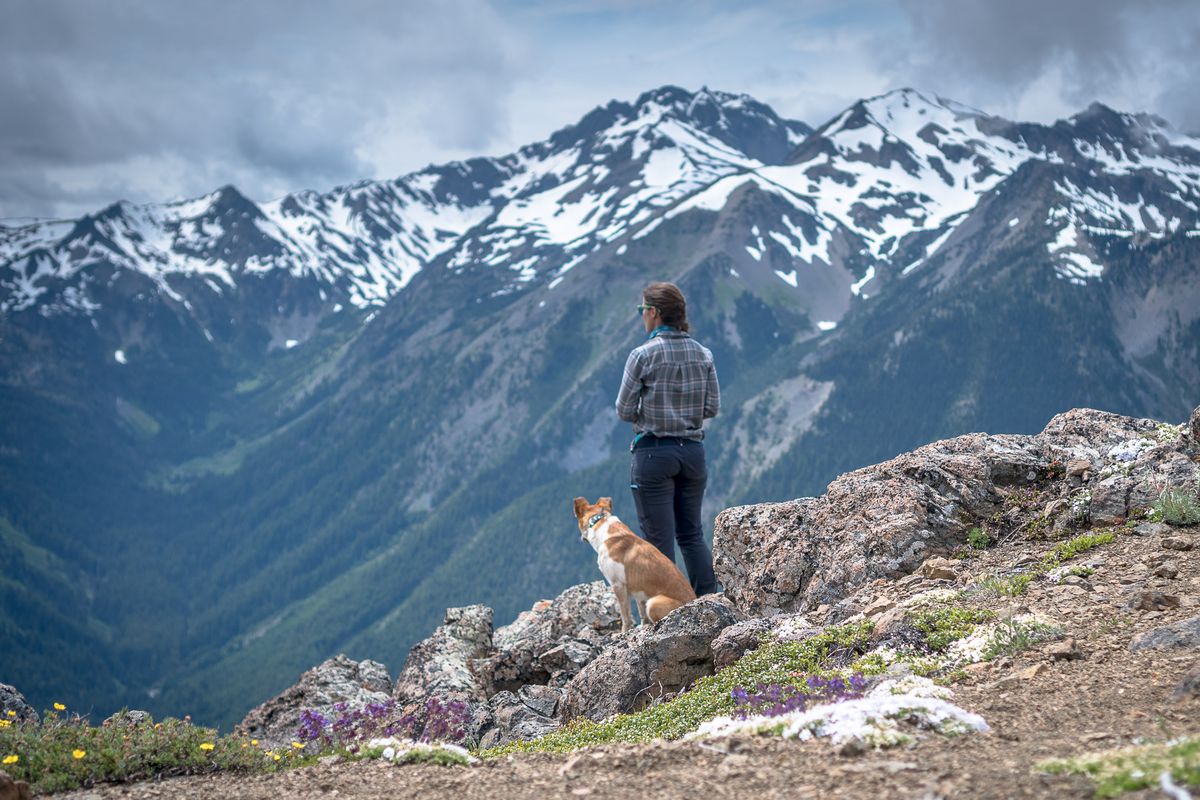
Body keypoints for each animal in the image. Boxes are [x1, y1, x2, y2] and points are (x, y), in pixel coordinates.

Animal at [571, 494, 696, 633]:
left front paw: (623, 633)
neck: (601, 523)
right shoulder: (638, 591)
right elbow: (642, 614)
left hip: (653, 603)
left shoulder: (618, 585)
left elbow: (625, 617)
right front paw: (642, 627)